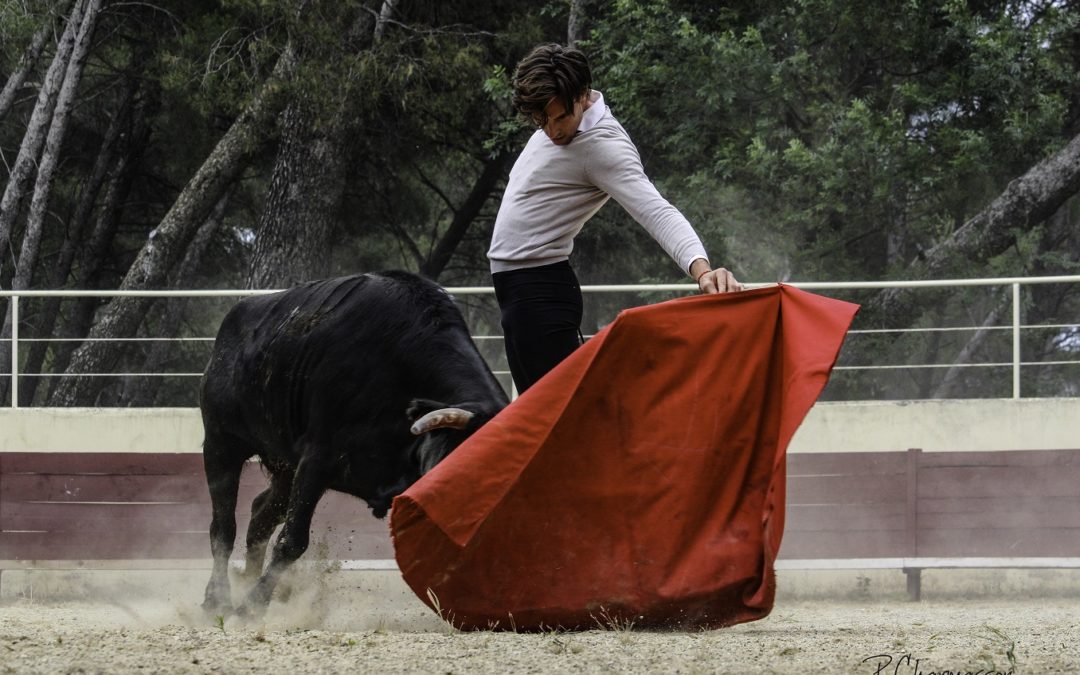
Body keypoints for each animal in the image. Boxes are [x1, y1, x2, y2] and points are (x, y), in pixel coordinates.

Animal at [200, 270, 507, 617]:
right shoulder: (317, 460)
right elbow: (293, 540)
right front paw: (251, 607)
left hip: (285, 468)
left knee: (259, 517)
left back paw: (245, 586)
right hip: (221, 445)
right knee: (223, 527)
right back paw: (218, 600)